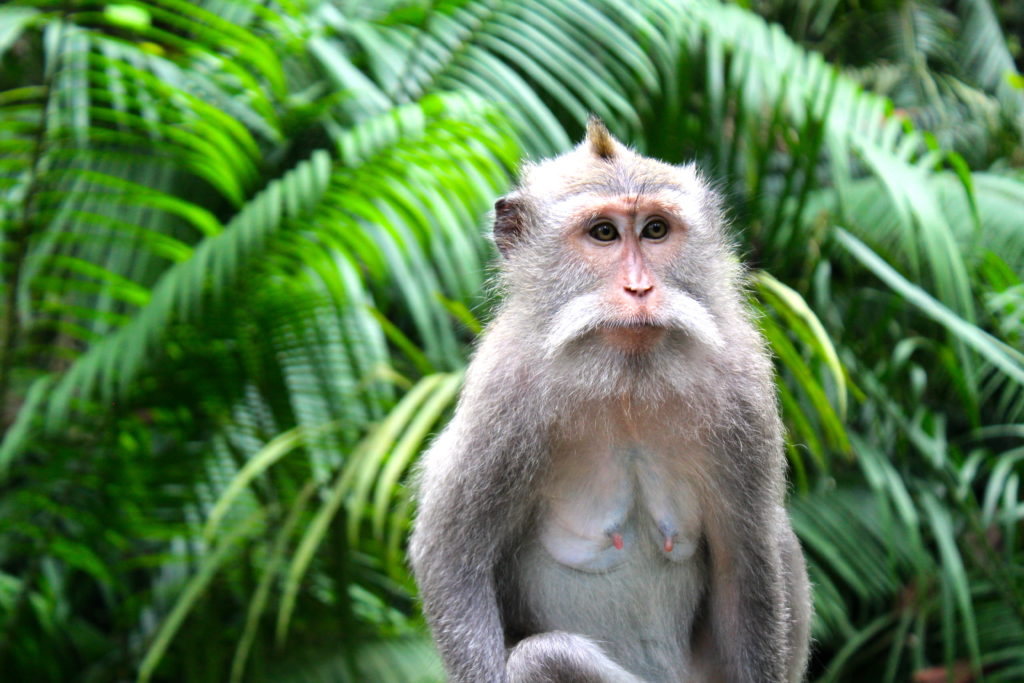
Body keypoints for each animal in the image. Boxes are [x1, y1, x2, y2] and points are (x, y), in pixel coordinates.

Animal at [409, 118, 811, 683]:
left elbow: (746, 560)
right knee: (543, 656)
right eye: (603, 233)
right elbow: (451, 559)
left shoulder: (743, 389)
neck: (626, 382)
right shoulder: (501, 396)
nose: (640, 289)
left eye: (655, 230)